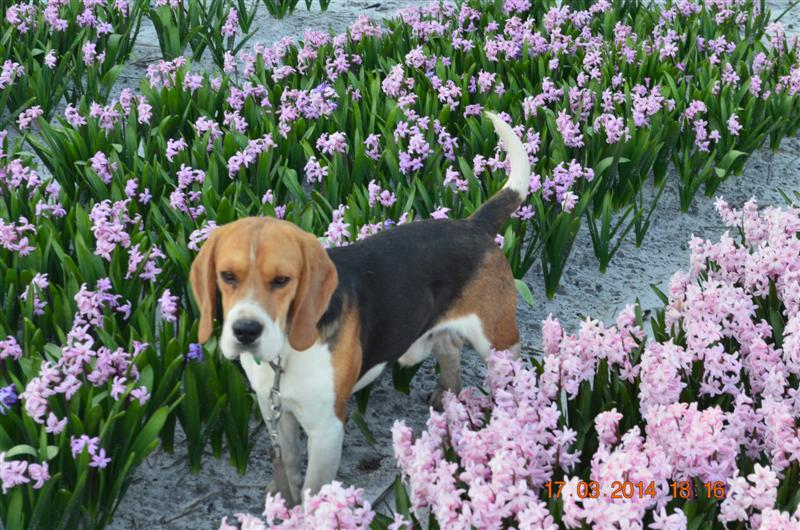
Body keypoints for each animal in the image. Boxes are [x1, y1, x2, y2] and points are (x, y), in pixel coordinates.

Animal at [189, 112, 532, 504]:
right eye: (227, 276)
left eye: (282, 280)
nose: (245, 331)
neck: (285, 354)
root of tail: (473, 224)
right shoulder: (275, 410)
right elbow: (287, 465)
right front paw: (283, 499)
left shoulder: (326, 428)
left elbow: (313, 486)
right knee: (448, 348)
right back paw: (448, 393)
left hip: (499, 344)